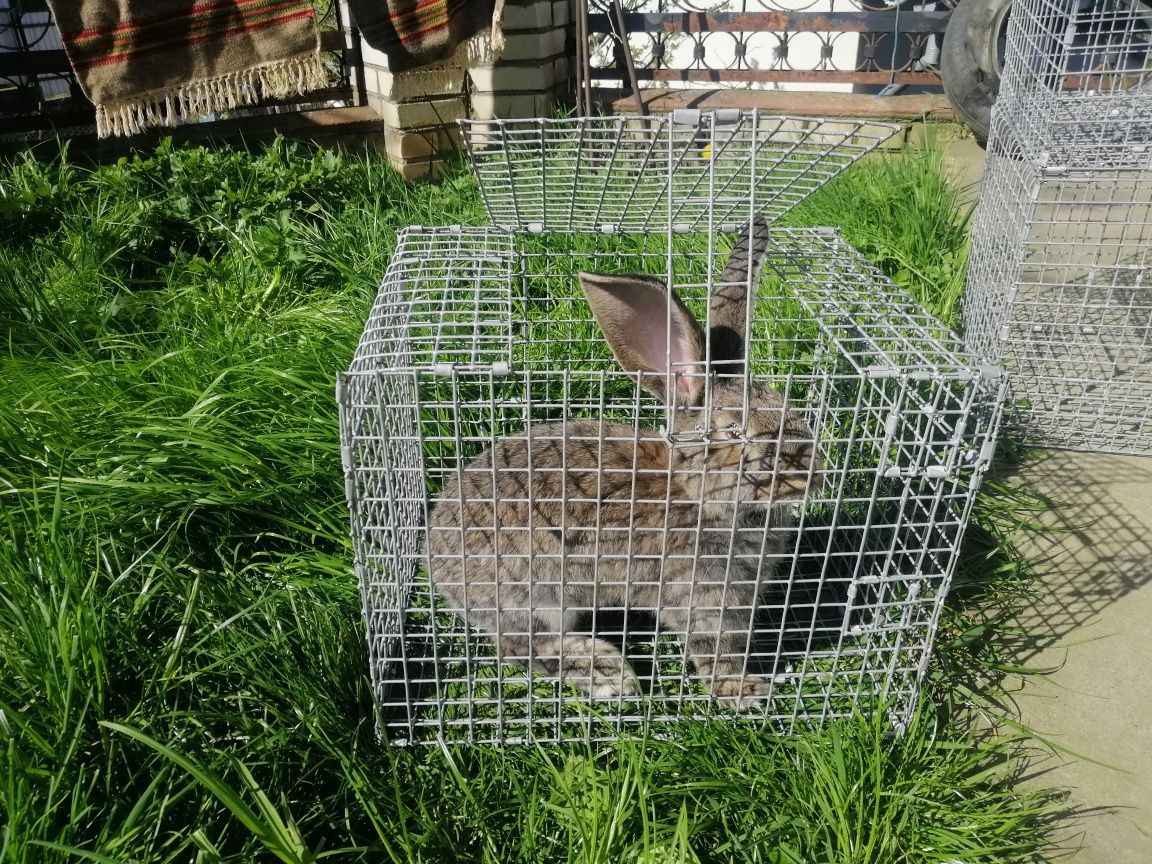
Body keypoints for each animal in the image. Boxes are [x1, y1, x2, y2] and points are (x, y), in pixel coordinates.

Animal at [426, 217, 820, 709]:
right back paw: (608, 673)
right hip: (536, 597)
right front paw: (743, 692)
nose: (815, 471)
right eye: (732, 431)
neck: (698, 497)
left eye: (792, 410)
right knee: (521, 646)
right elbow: (714, 651)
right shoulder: (700, 597)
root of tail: (435, 561)